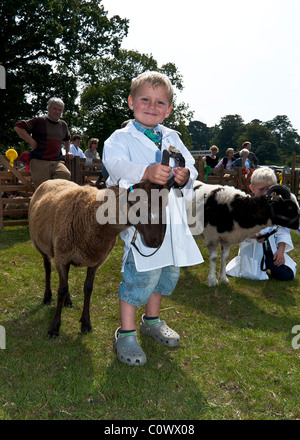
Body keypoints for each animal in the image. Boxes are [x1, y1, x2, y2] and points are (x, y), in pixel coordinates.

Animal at [29, 179, 170, 336]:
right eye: (145, 203)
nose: (158, 241)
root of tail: (52, 180)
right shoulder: (62, 259)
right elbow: (62, 290)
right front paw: (54, 328)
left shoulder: (95, 261)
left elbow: (88, 288)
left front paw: (86, 323)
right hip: (41, 245)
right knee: (47, 269)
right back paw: (47, 297)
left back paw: (68, 301)